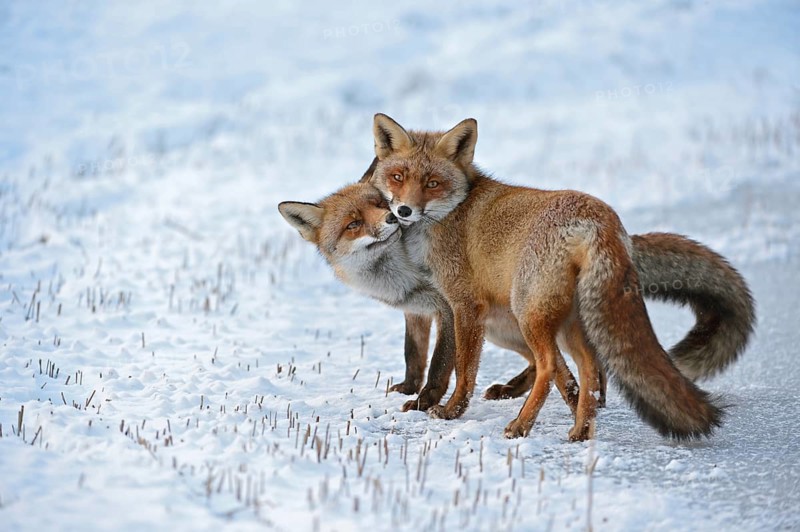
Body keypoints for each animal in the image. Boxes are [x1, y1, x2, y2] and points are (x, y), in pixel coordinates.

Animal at [366, 113, 755, 441]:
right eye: (398, 177)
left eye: (432, 183)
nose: (404, 210)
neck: (450, 215)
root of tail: (602, 220)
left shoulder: (464, 305)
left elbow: (463, 369)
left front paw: (450, 410)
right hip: (566, 320)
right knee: (586, 368)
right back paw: (581, 430)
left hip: (527, 313)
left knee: (550, 365)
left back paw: (522, 424)